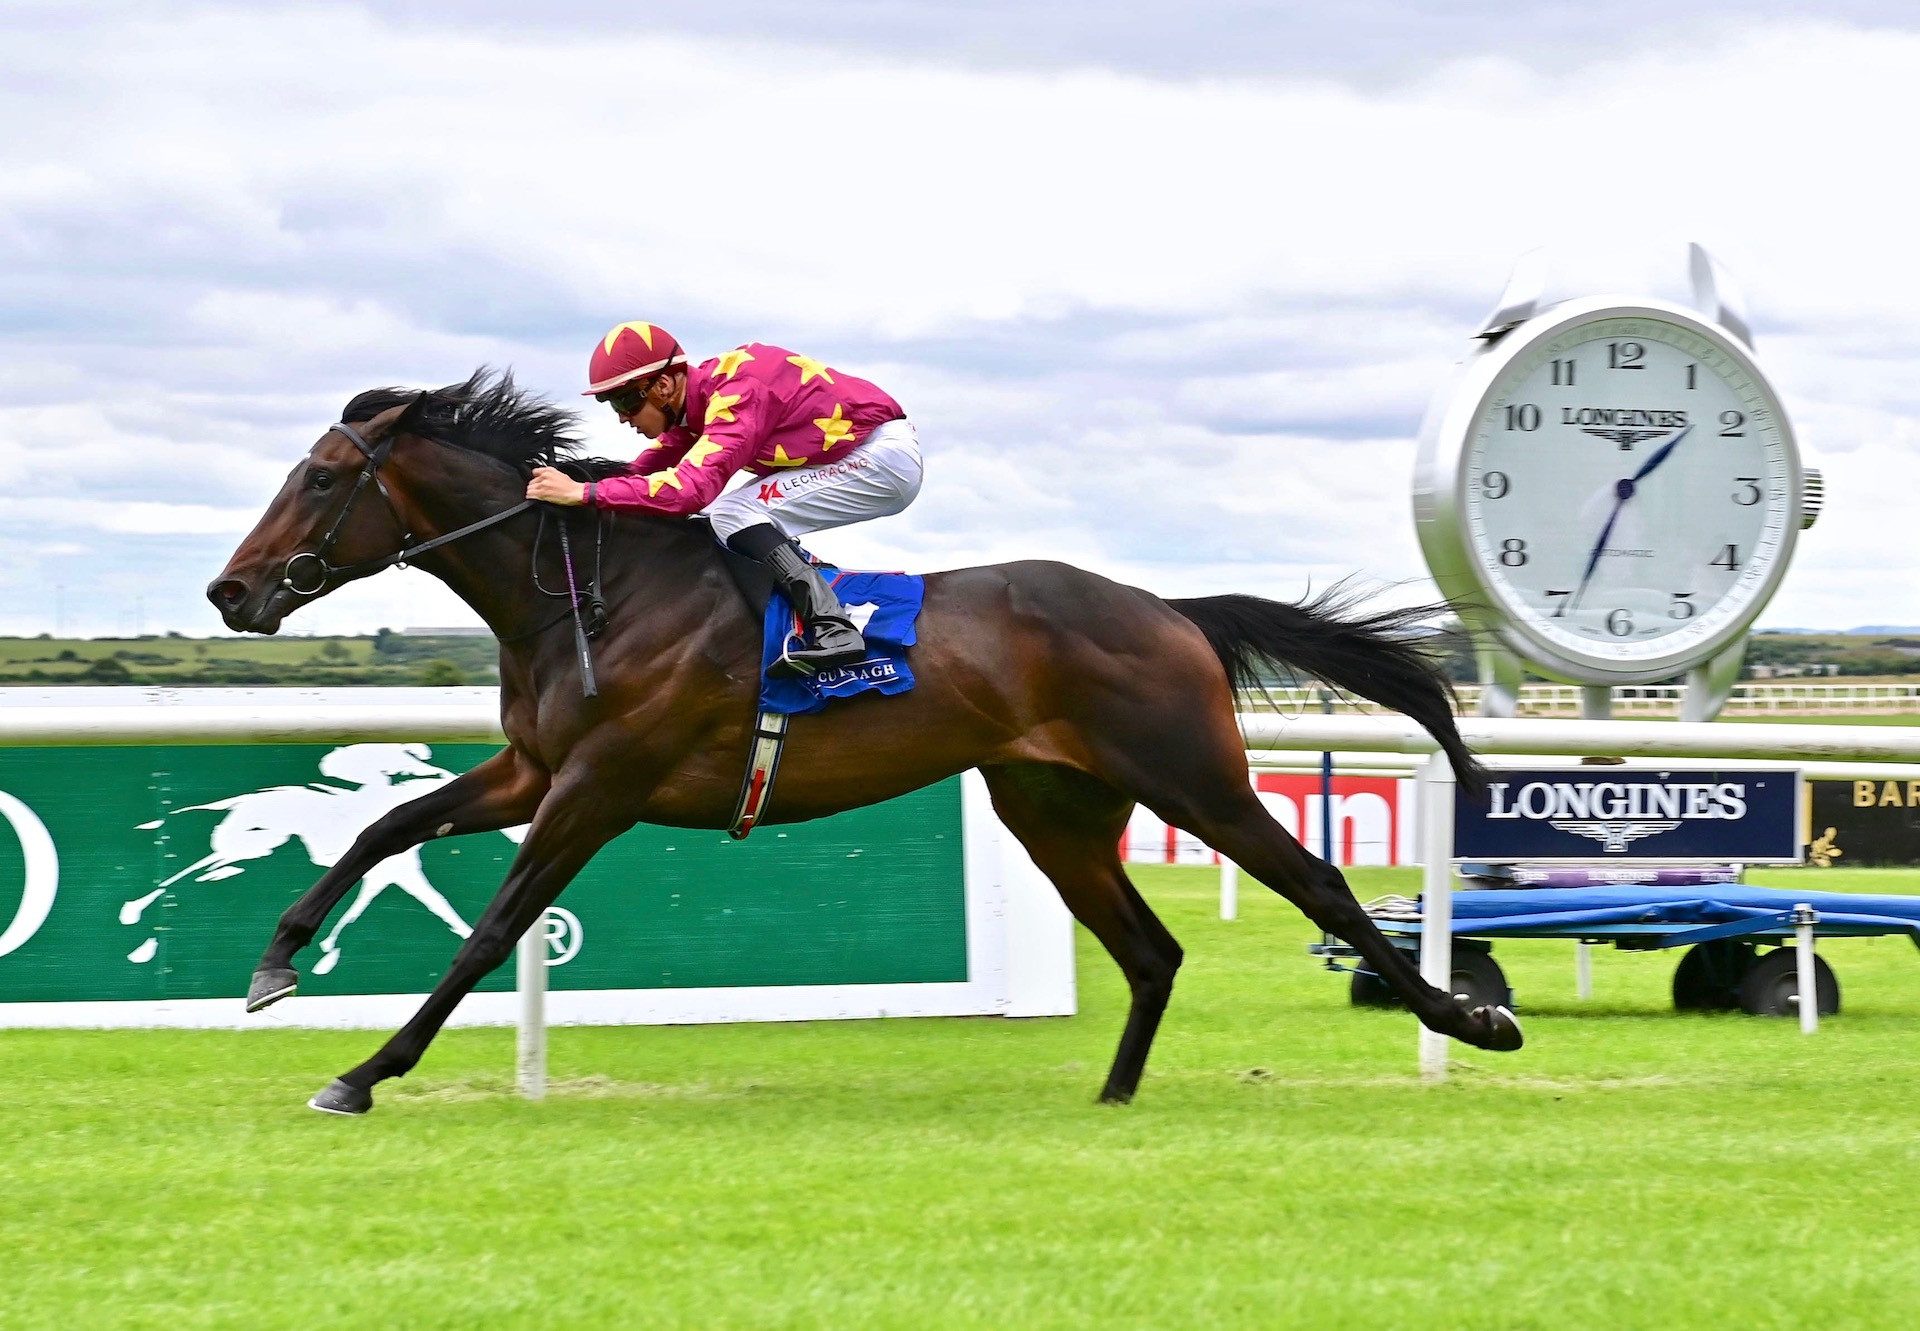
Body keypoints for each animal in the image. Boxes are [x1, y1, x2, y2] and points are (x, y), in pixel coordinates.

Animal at [198, 368, 1512, 1113]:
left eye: (322, 479)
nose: (230, 591)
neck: (590, 591)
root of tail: (1169, 608)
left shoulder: (599, 784)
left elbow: (491, 928)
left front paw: (363, 1071)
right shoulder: (533, 769)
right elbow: (383, 825)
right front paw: (273, 963)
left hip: (1195, 778)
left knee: (1324, 887)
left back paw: (1468, 1018)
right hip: (1054, 806)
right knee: (1151, 949)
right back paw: (1113, 1093)